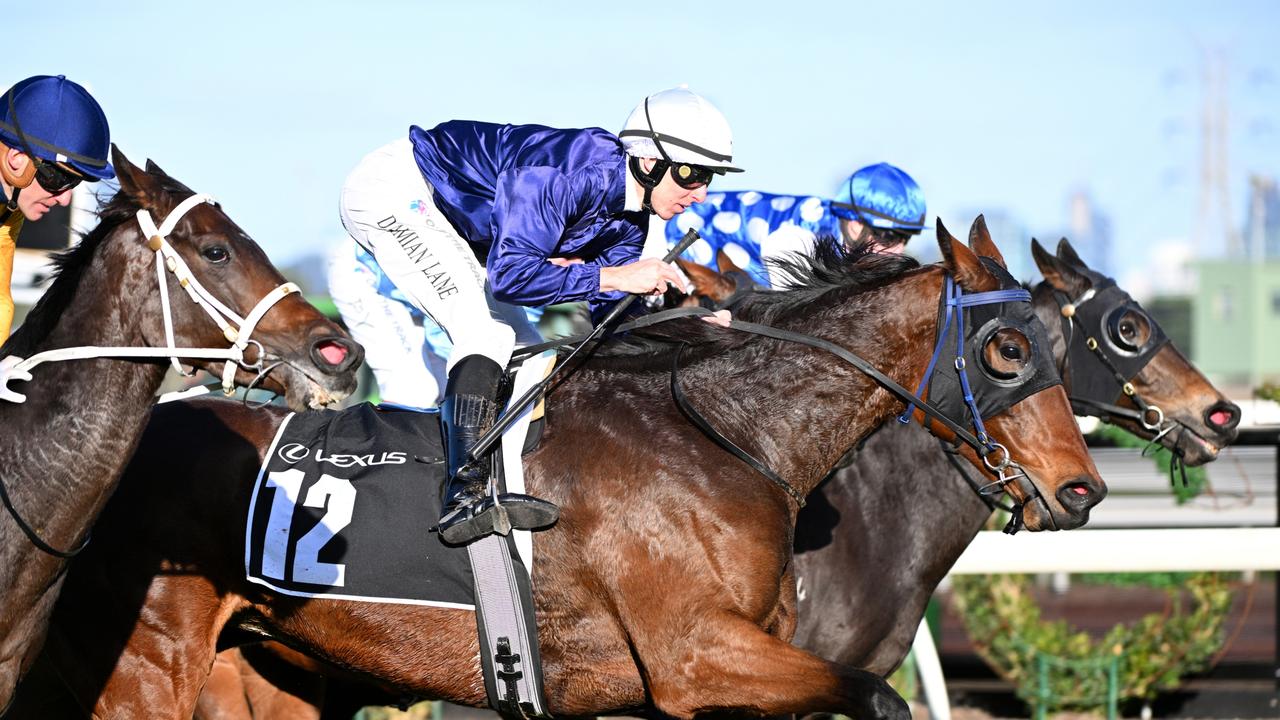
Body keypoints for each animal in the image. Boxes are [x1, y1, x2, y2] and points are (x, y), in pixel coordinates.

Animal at [15, 219, 1105, 717]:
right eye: (1009, 351)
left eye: (1061, 349)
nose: (1082, 489)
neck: (727, 437)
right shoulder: (694, 658)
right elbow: (874, 694)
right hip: (145, 668)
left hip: (277, 674)